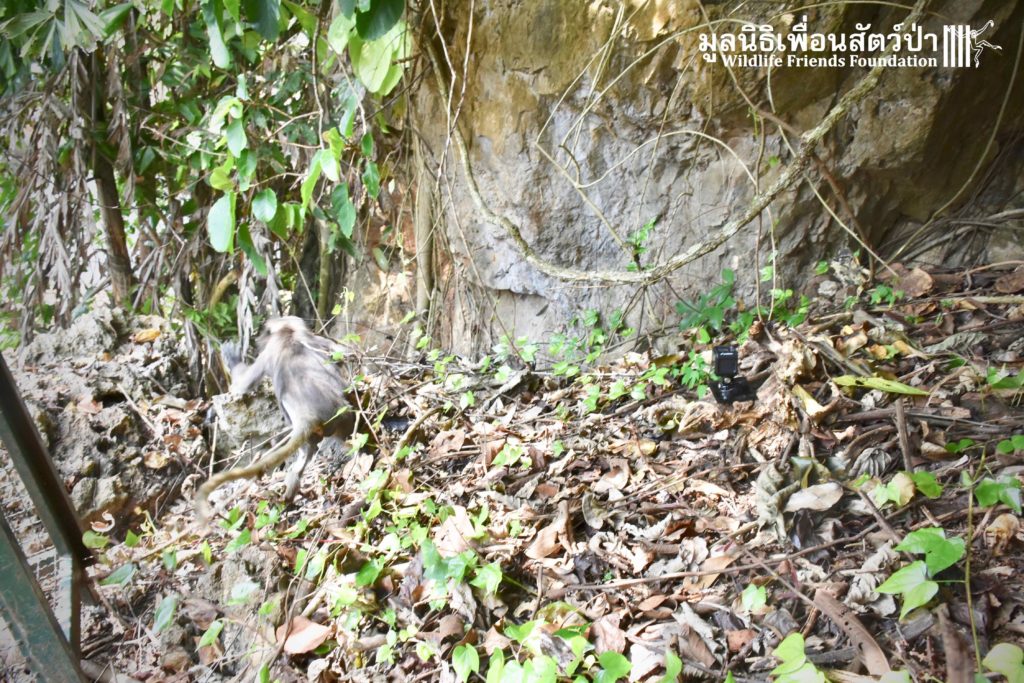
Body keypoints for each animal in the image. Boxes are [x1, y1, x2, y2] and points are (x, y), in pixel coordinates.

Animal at [196, 317, 356, 523]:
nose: (258, 339)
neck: (288, 333)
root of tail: (307, 415)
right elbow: (344, 352)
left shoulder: (271, 350)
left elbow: (241, 386)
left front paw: (232, 358)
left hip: (339, 416)